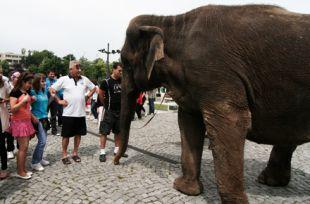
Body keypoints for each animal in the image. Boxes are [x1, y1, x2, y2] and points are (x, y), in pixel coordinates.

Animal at [114, 3, 310, 203]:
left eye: (125, 63)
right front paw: (185, 189)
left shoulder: (217, 75)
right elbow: (188, 122)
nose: (117, 161)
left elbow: (232, 123)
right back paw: (270, 181)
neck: (173, 23)